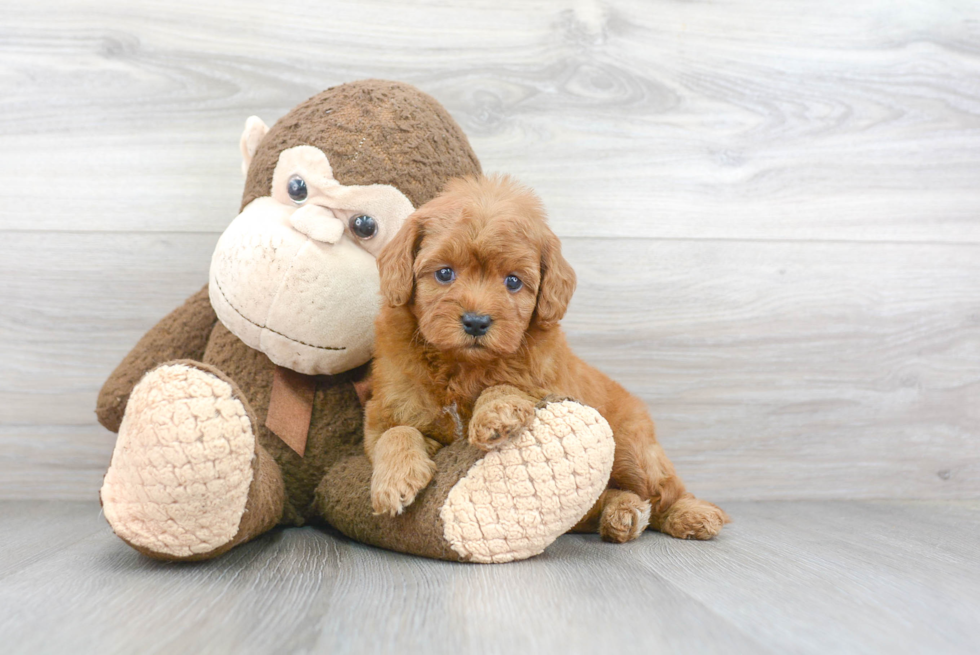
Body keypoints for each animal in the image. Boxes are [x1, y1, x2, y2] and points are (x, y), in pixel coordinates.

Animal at [362, 174, 728, 544]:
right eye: (444, 273)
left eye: (513, 281)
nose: (476, 322)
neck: (463, 365)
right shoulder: (384, 412)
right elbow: (396, 432)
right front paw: (394, 480)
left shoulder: (548, 387)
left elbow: (506, 385)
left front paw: (497, 414)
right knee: (605, 498)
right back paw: (622, 514)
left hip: (632, 447)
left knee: (663, 487)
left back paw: (690, 515)